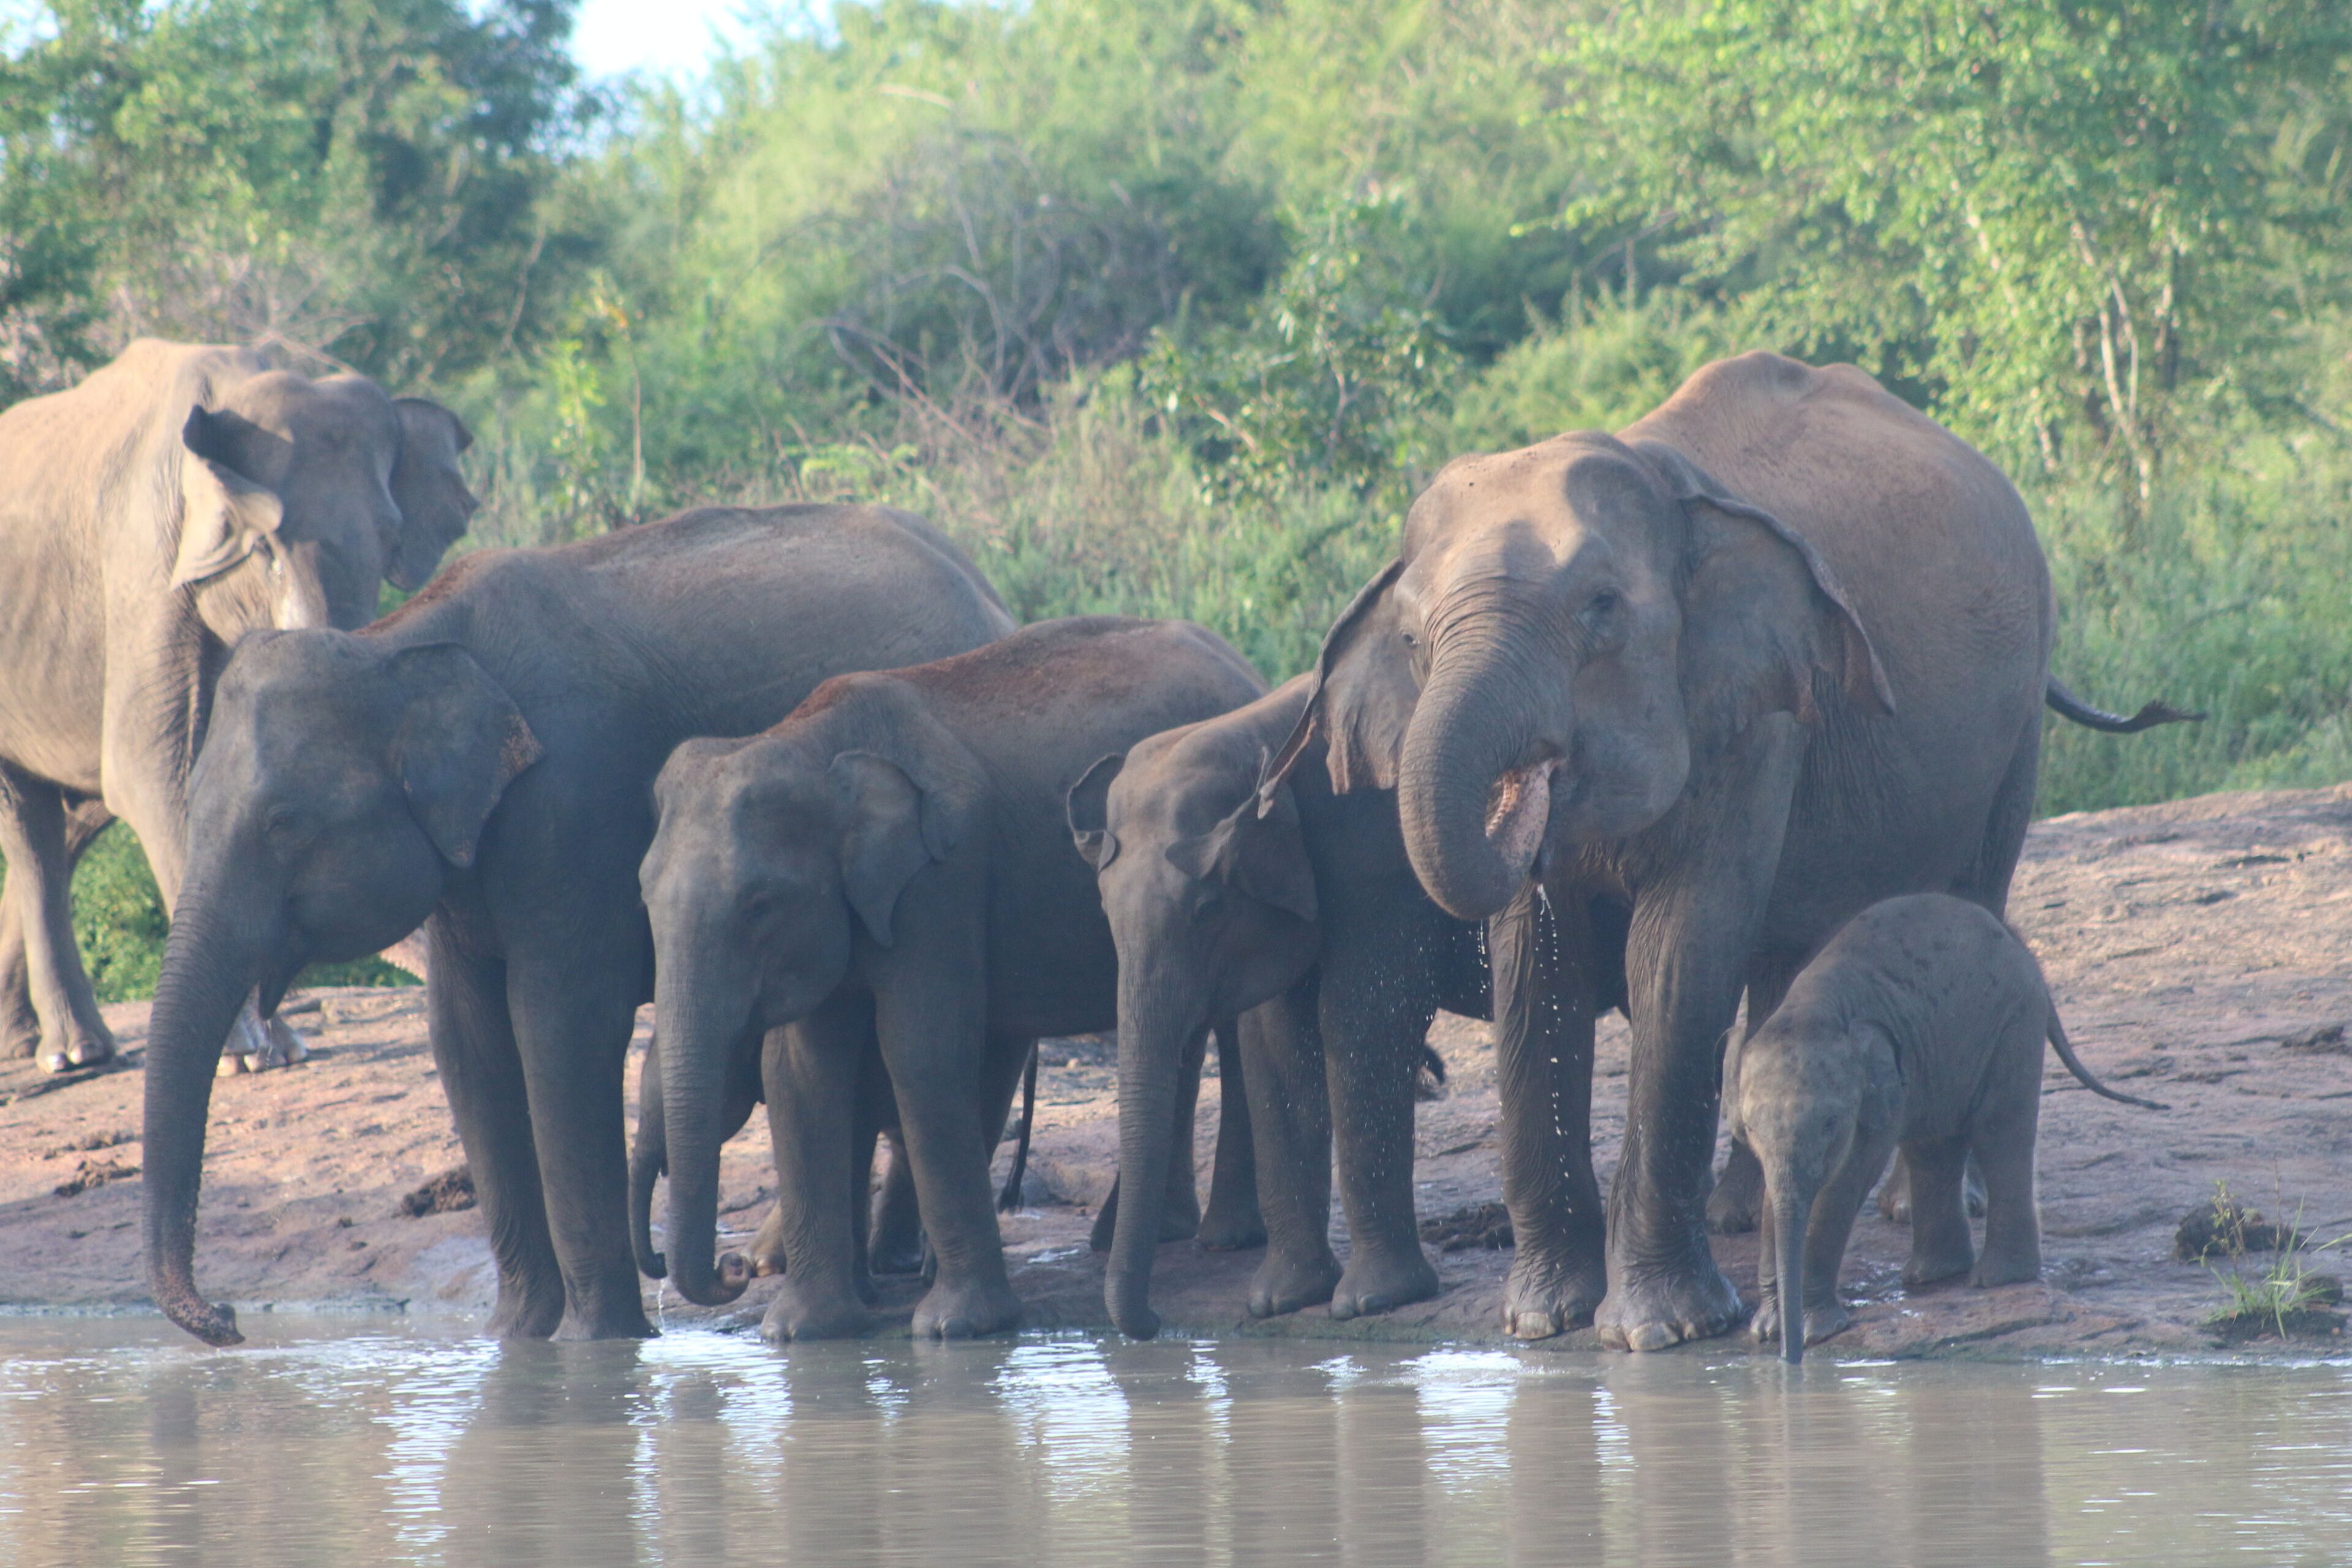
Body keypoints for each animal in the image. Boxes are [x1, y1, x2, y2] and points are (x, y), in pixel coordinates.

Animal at [0, 338, 476, 1075]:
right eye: (264, 549)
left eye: (390, 540)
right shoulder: (148, 559)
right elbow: (149, 770)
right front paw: (251, 1053)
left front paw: (279, 1046)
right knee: (33, 822)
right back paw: (73, 1054)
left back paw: (39, 1042)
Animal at [138, 503, 1015, 1346]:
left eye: (284, 825)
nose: (229, 1320)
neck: (397, 642)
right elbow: (468, 1044)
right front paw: (514, 1339)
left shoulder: (572, 806)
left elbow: (560, 1027)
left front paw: (599, 1344)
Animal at [639, 616, 1266, 1341]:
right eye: (643, 894)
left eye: (759, 905)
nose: (733, 1267)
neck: (809, 741)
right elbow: (801, 1073)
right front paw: (802, 1332)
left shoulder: (942, 879)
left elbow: (922, 1053)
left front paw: (953, 1328)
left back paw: (1223, 1238)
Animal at [1068, 674, 1610, 1340]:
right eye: (1105, 914)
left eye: (1206, 910)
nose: (1150, 1324)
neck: (1258, 740)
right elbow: (1275, 1040)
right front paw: (1280, 1301)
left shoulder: (1376, 859)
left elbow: (1363, 1018)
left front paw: (1368, 1302)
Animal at [1723, 893, 2164, 1362]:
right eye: (1748, 1127)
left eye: (1831, 1123)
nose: (1789, 1362)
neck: (1813, 1006)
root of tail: (2018, 942)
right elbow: (1780, 1193)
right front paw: (1769, 1329)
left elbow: (1842, 1183)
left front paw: (1812, 1332)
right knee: (1935, 1146)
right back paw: (1933, 1276)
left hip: (2013, 1021)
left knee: (1998, 1130)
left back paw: (1995, 1280)